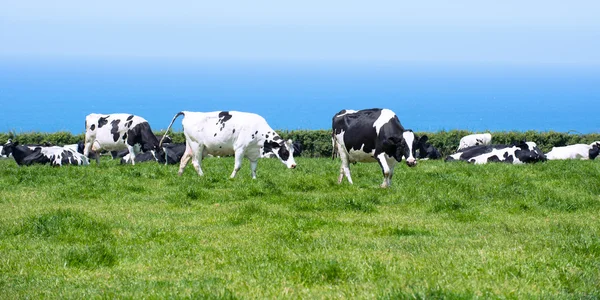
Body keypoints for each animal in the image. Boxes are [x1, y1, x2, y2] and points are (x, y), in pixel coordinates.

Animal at [162, 110, 298, 178]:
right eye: (285, 152)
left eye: (293, 152)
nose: (294, 165)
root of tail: (189, 112)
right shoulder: (240, 148)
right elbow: (237, 166)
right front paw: (231, 178)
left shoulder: (253, 153)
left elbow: (254, 168)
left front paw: (254, 179)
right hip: (197, 145)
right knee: (195, 163)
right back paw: (203, 176)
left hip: (190, 146)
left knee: (183, 160)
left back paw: (179, 176)